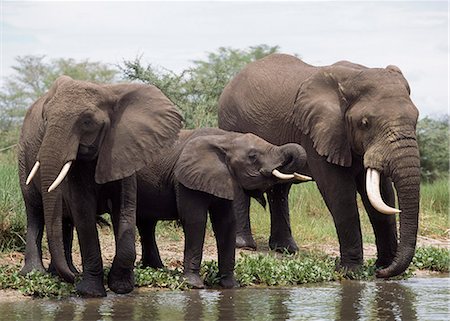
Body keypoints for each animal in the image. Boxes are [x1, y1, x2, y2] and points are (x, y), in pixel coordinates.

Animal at [17, 76, 183, 296]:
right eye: (45, 119)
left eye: (87, 121)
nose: (74, 281)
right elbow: (83, 211)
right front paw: (90, 293)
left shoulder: (125, 149)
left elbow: (125, 208)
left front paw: (121, 287)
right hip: (23, 156)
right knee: (35, 211)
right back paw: (37, 273)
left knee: (63, 221)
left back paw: (64, 272)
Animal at [134, 127, 310, 288]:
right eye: (252, 156)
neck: (226, 139)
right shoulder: (185, 180)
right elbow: (195, 221)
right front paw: (194, 285)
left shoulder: (224, 178)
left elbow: (226, 223)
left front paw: (231, 286)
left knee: (146, 224)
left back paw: (155, 268)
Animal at [219, 53, 422, 278]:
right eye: (365, 123)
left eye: (416, 119)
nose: (381, 272)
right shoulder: (317, 133)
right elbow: (340, 194)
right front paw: (350, 272)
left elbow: (383, 196)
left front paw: (385, 270)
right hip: (231, 123)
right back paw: (245, 245)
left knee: (281, 188)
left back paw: (286, 249)